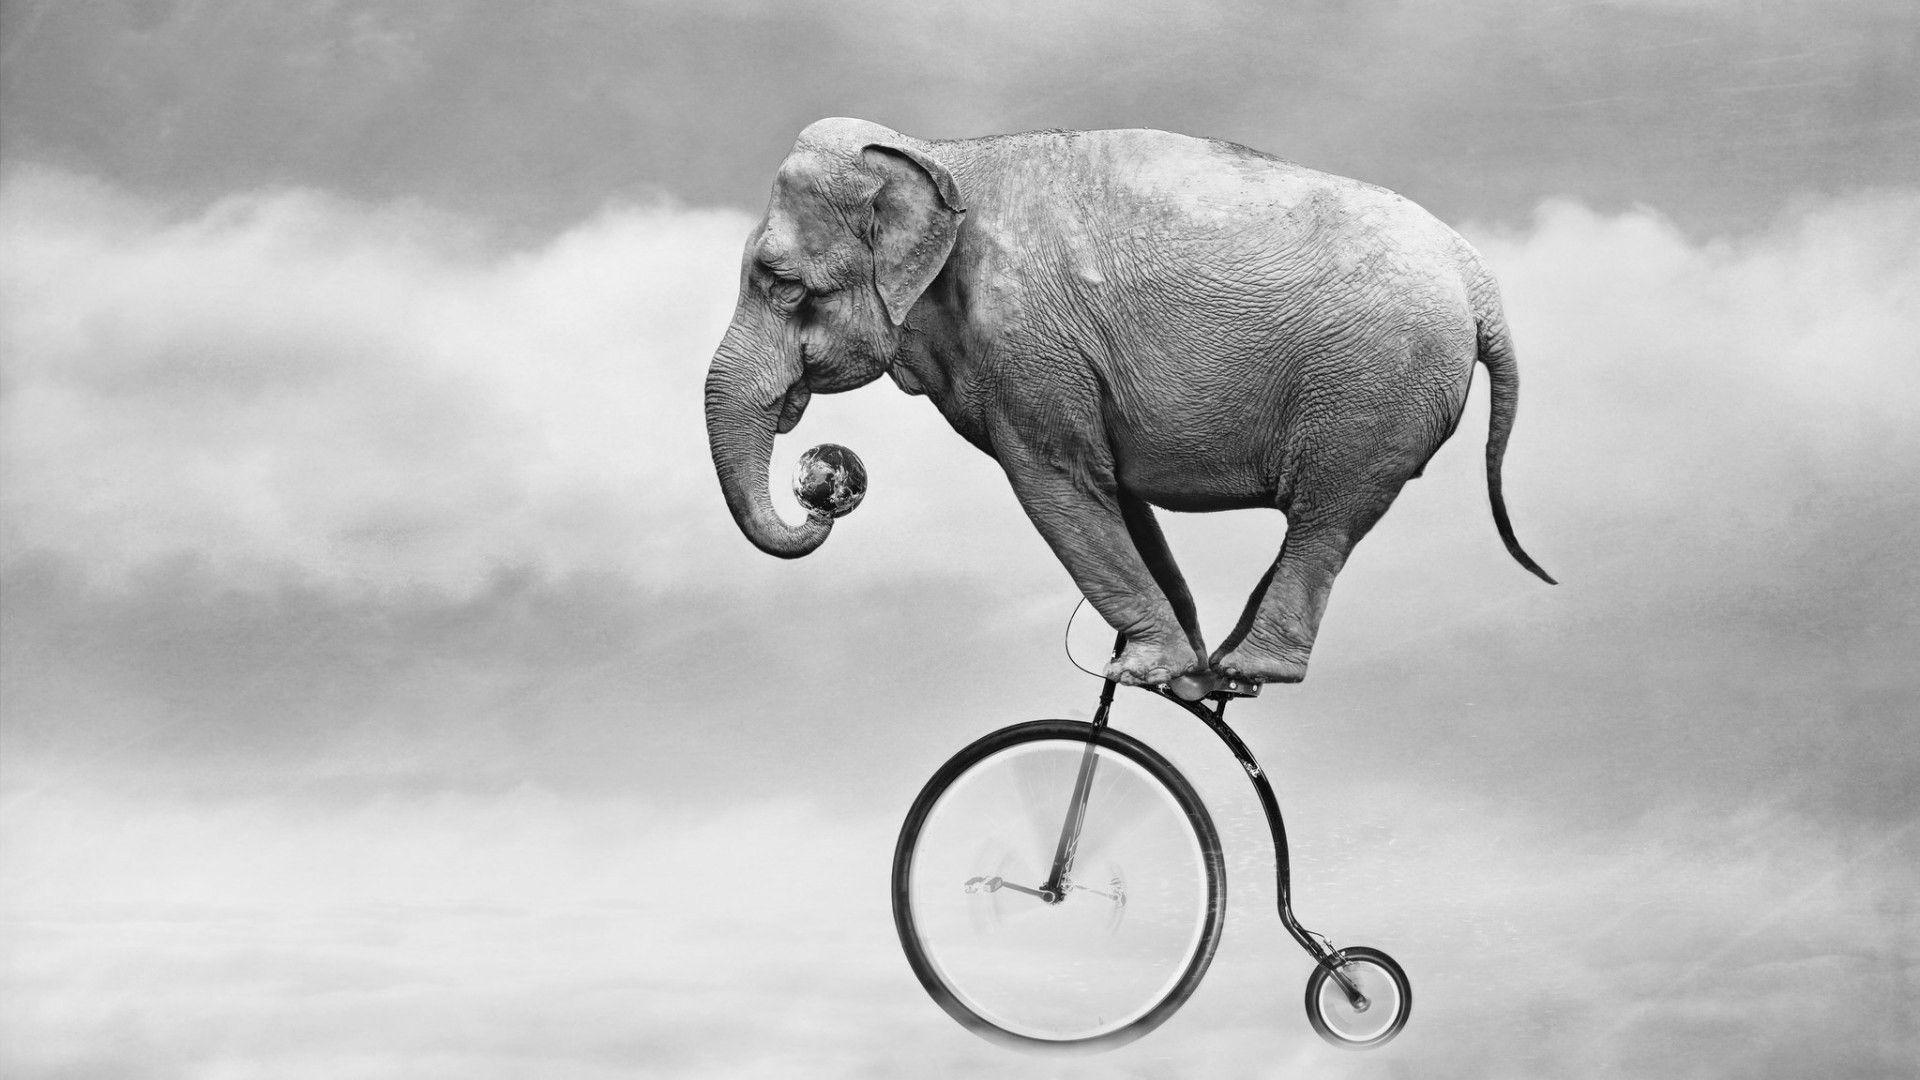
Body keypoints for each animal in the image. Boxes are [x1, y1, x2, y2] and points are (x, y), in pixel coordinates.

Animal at [704, 117, 1554, 688]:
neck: (942, 153)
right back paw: (1222, 667)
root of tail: (1482, 286)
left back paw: (1247, 669)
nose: (822, 489)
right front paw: (1178, 670)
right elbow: (1115, 496)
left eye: (781, 284)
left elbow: (1056, 484)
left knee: (1325, 516)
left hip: (1372, 389)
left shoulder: (1029, 346)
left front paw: (1143, 672)